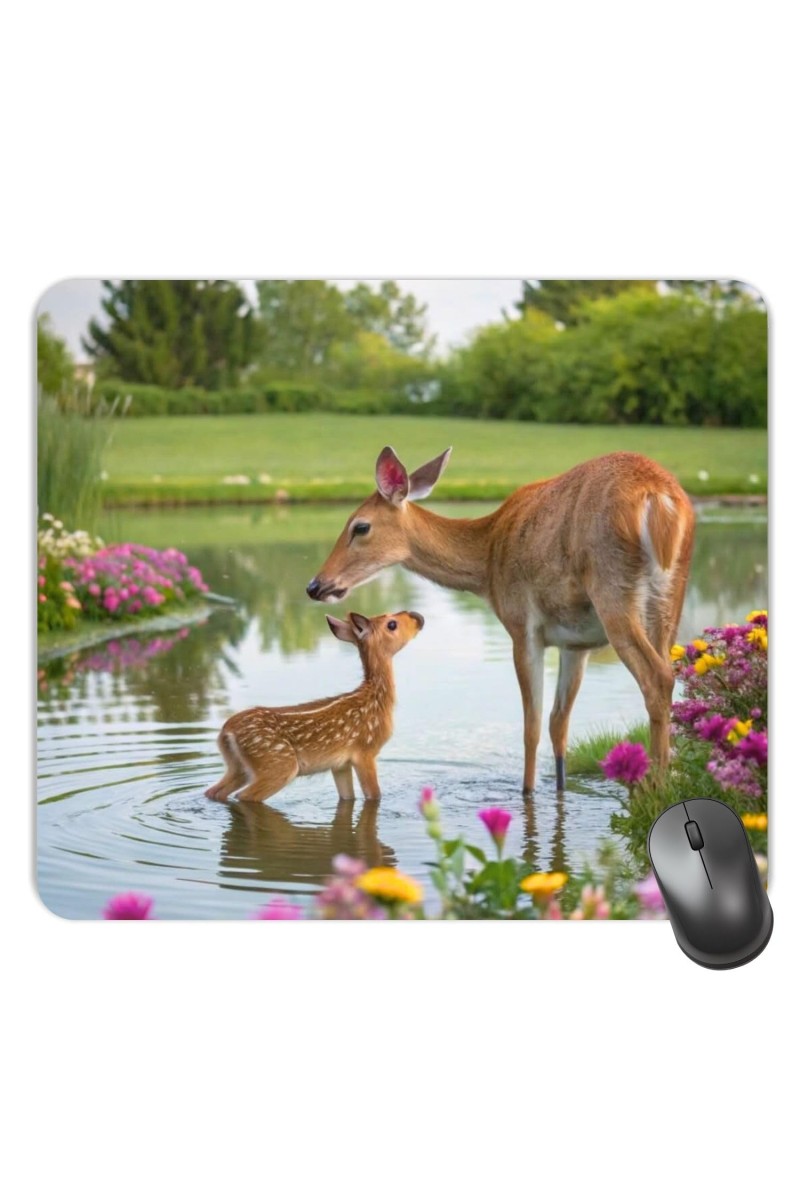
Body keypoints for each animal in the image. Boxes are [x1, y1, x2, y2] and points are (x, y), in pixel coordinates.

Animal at [205, 609, 424, 804]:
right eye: (392, 624)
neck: (375, 700)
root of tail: (227, 731)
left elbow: (348, 797)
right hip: (278, 764)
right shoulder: (365, 750)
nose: (418, 617)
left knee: (214, 792)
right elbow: (374, 795)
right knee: (244, 796)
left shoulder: (340, 763)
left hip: (238, 767)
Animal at [306, 446, 695, 795]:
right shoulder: (575, 643)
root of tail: (660, 499)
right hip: (670, 600)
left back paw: (656, 789)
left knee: (657, 677)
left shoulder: (522, 624)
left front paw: (527, 792)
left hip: (612, 589)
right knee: (665, 675)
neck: (487, 557)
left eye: (360, 527)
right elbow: (558, 725)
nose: (315, 585)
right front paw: (559, 788)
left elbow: (531, 726)